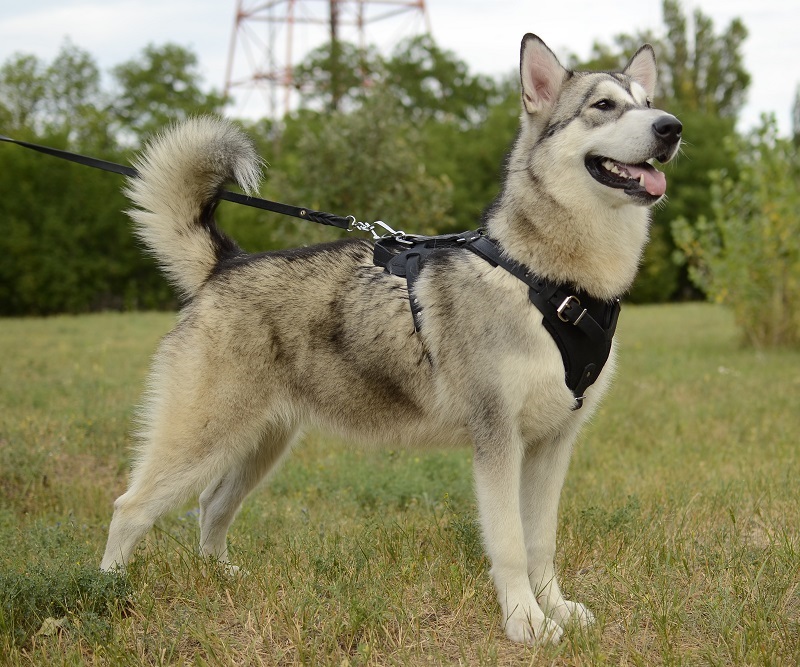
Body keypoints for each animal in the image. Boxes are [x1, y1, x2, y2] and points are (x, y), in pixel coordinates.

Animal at [100, 36, 680, 648]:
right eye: (604, 106)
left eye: (648, 102)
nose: (672, 127)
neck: (553, 282)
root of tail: (224, 264)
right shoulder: (497, 441)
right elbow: (510, 546)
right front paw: (524, 621)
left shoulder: (554, 443)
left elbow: (540, 541)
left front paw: (557, 609)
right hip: (201, 439)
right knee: (129, 508)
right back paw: (107, 595)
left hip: (261, 443)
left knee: (211, 507)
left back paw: (221, 578)